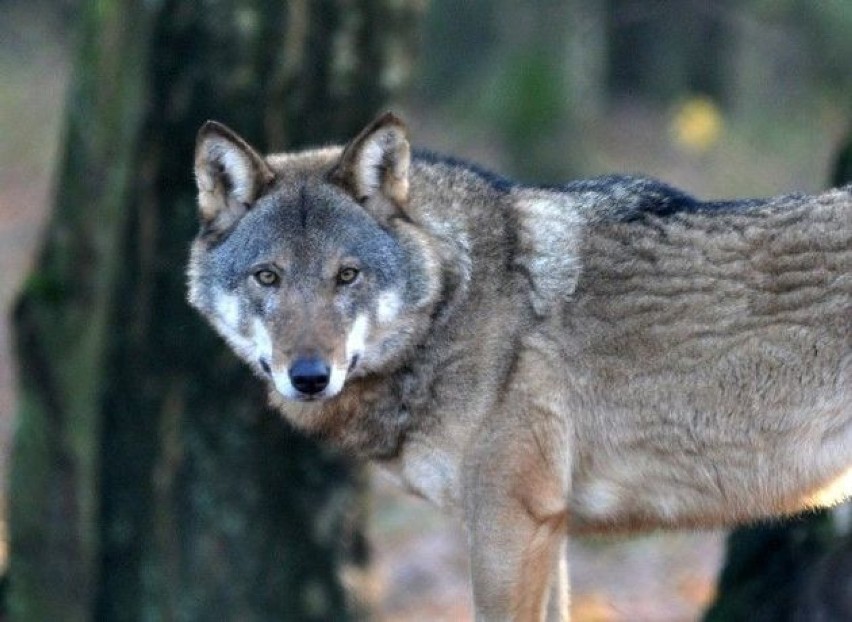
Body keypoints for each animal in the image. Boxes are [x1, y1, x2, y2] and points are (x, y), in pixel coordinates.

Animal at [188, 113, 852, 622]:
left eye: (346, 275)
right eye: (267, 277)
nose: (308, 377)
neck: (455, 302)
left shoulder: (512, 522)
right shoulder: (547, 528)